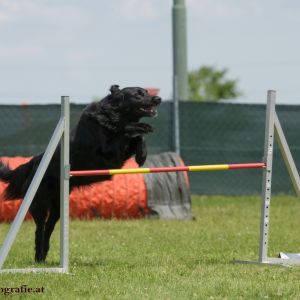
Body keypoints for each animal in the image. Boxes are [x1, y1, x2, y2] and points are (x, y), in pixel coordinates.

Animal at [0, 85, 162, 262]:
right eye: (138, 95)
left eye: (146, 91)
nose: (158, 99)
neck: (111, 115)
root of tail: (33, 162)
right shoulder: (108, 152)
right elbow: (126, 131)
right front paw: (142, 128)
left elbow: (137, 138)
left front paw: (142, 155)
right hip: (39, 203)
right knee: (40, 229)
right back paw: (39, 257)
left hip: (58, 206)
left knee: (49, 227)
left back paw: (44, 254)